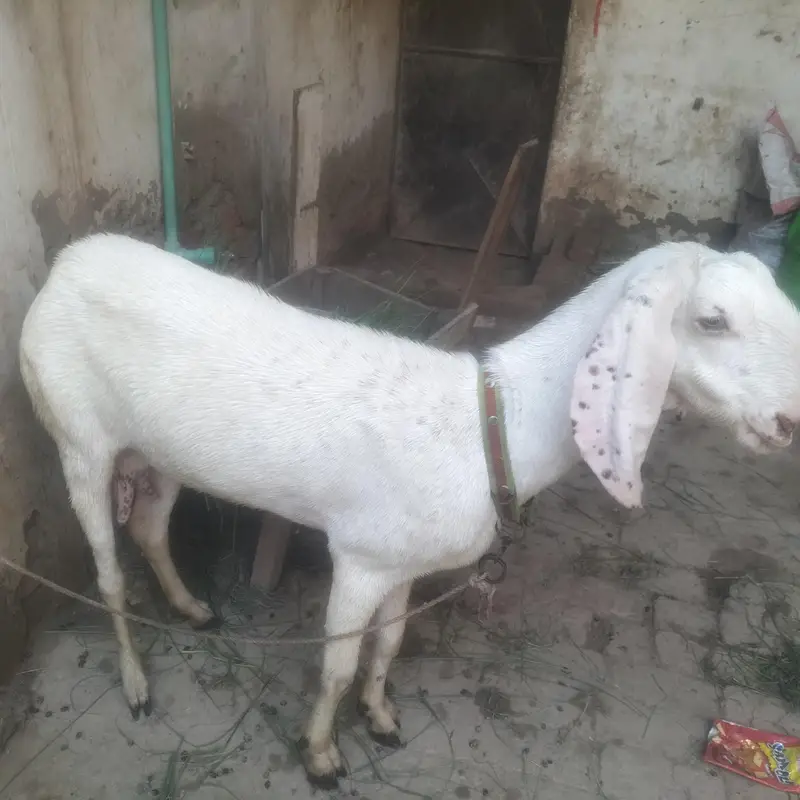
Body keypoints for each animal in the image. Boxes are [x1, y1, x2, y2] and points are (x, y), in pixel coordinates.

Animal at [18, 233, 800, 785]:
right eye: (712, 319)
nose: (789, 420)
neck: (490, 427)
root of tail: (64, 264)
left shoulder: (403, 563)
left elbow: (388, 645)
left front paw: (383, 718)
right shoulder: (360, 556)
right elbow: (337, 663)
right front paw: (322, 756)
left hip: (158, 454)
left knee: (150, 528)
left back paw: (192, 609)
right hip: (78, 435)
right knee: (107, 570)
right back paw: (136, 684)